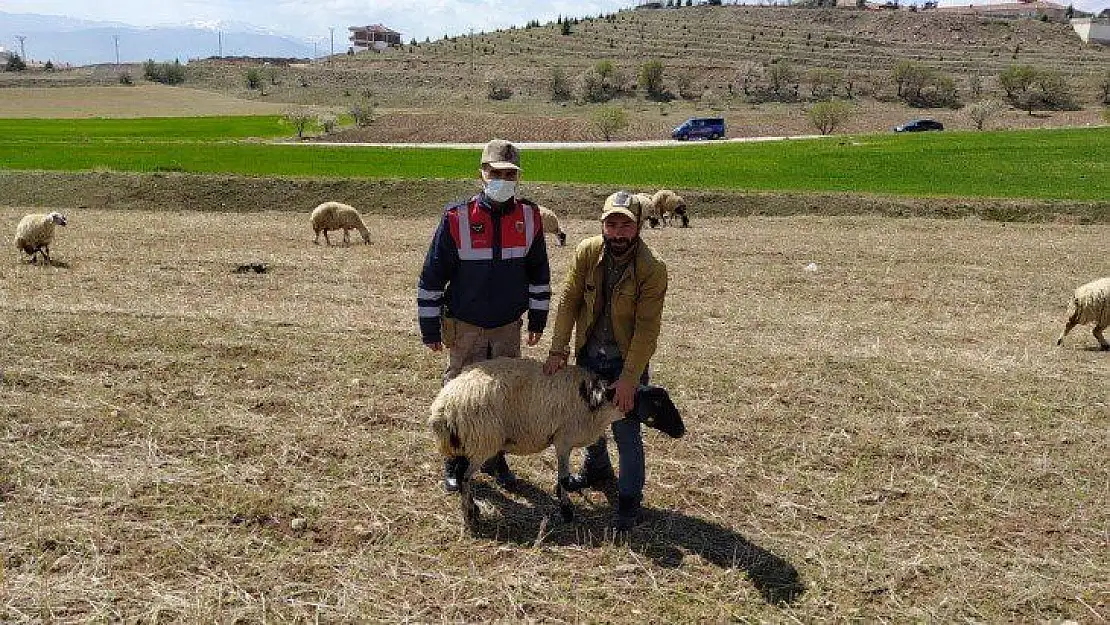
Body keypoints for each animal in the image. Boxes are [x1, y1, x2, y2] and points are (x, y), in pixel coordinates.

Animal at [426, 359, 679, 530]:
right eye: (658, 403)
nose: (681, 430)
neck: (598, 402)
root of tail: (442, 409)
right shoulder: (563, 439)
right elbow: (564, 479)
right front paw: (566, 511)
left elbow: (563, 478)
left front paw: (561, 499)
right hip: (482, 441)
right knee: (464, 477)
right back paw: (470, 514)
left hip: (470, 444)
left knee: (463, 476)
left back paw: (473, 509)